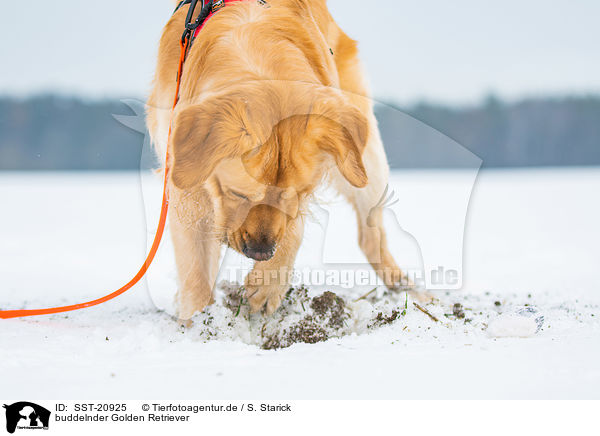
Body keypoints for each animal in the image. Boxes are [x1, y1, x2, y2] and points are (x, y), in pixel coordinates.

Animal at [148, 0, 414, 320]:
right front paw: (199, 320)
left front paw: (268, 283)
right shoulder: (185, 182)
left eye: (298, 194)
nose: (261, 253)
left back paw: (406, 288)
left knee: (371, 234)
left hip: (364, 161)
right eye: (238, 194)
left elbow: (293, 226)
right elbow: (196, 271)